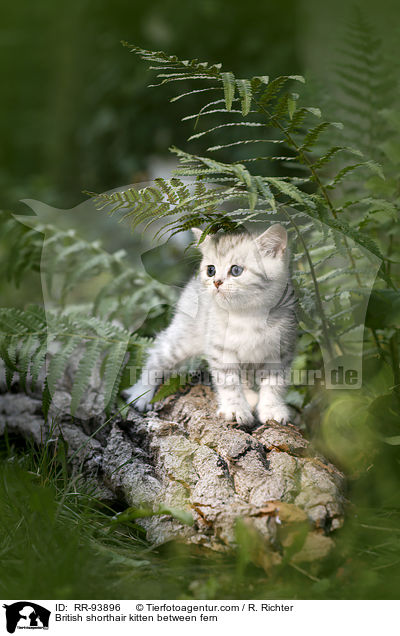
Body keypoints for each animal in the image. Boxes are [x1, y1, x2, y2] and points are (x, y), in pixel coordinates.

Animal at [124, 225, 296, 428]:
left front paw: (271, 409)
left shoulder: (281, 350)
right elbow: (229, 382)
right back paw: (141, 393)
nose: (216, 282)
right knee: (157, 356)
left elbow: (274, 383)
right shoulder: (220, 348)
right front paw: (235, 409)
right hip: (183, 338)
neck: (248, 315)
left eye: (236, 270)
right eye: (211, 270)